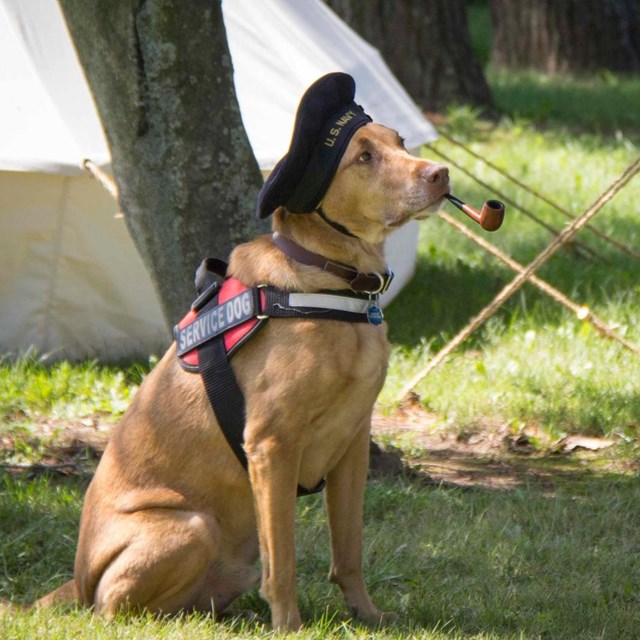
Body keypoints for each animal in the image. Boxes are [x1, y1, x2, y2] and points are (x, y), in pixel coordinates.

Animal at [31, 74, 450, 632]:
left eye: (400, 142)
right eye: (363, 156)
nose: (441, 173)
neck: (335, 285)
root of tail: (75, 580)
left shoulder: (353, 444)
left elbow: (349, 550)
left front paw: (367, 615)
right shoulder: (272, 446)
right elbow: (286, 558)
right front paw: (290, 627)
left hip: (233, 555)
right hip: (191, 526)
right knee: (114, 608)